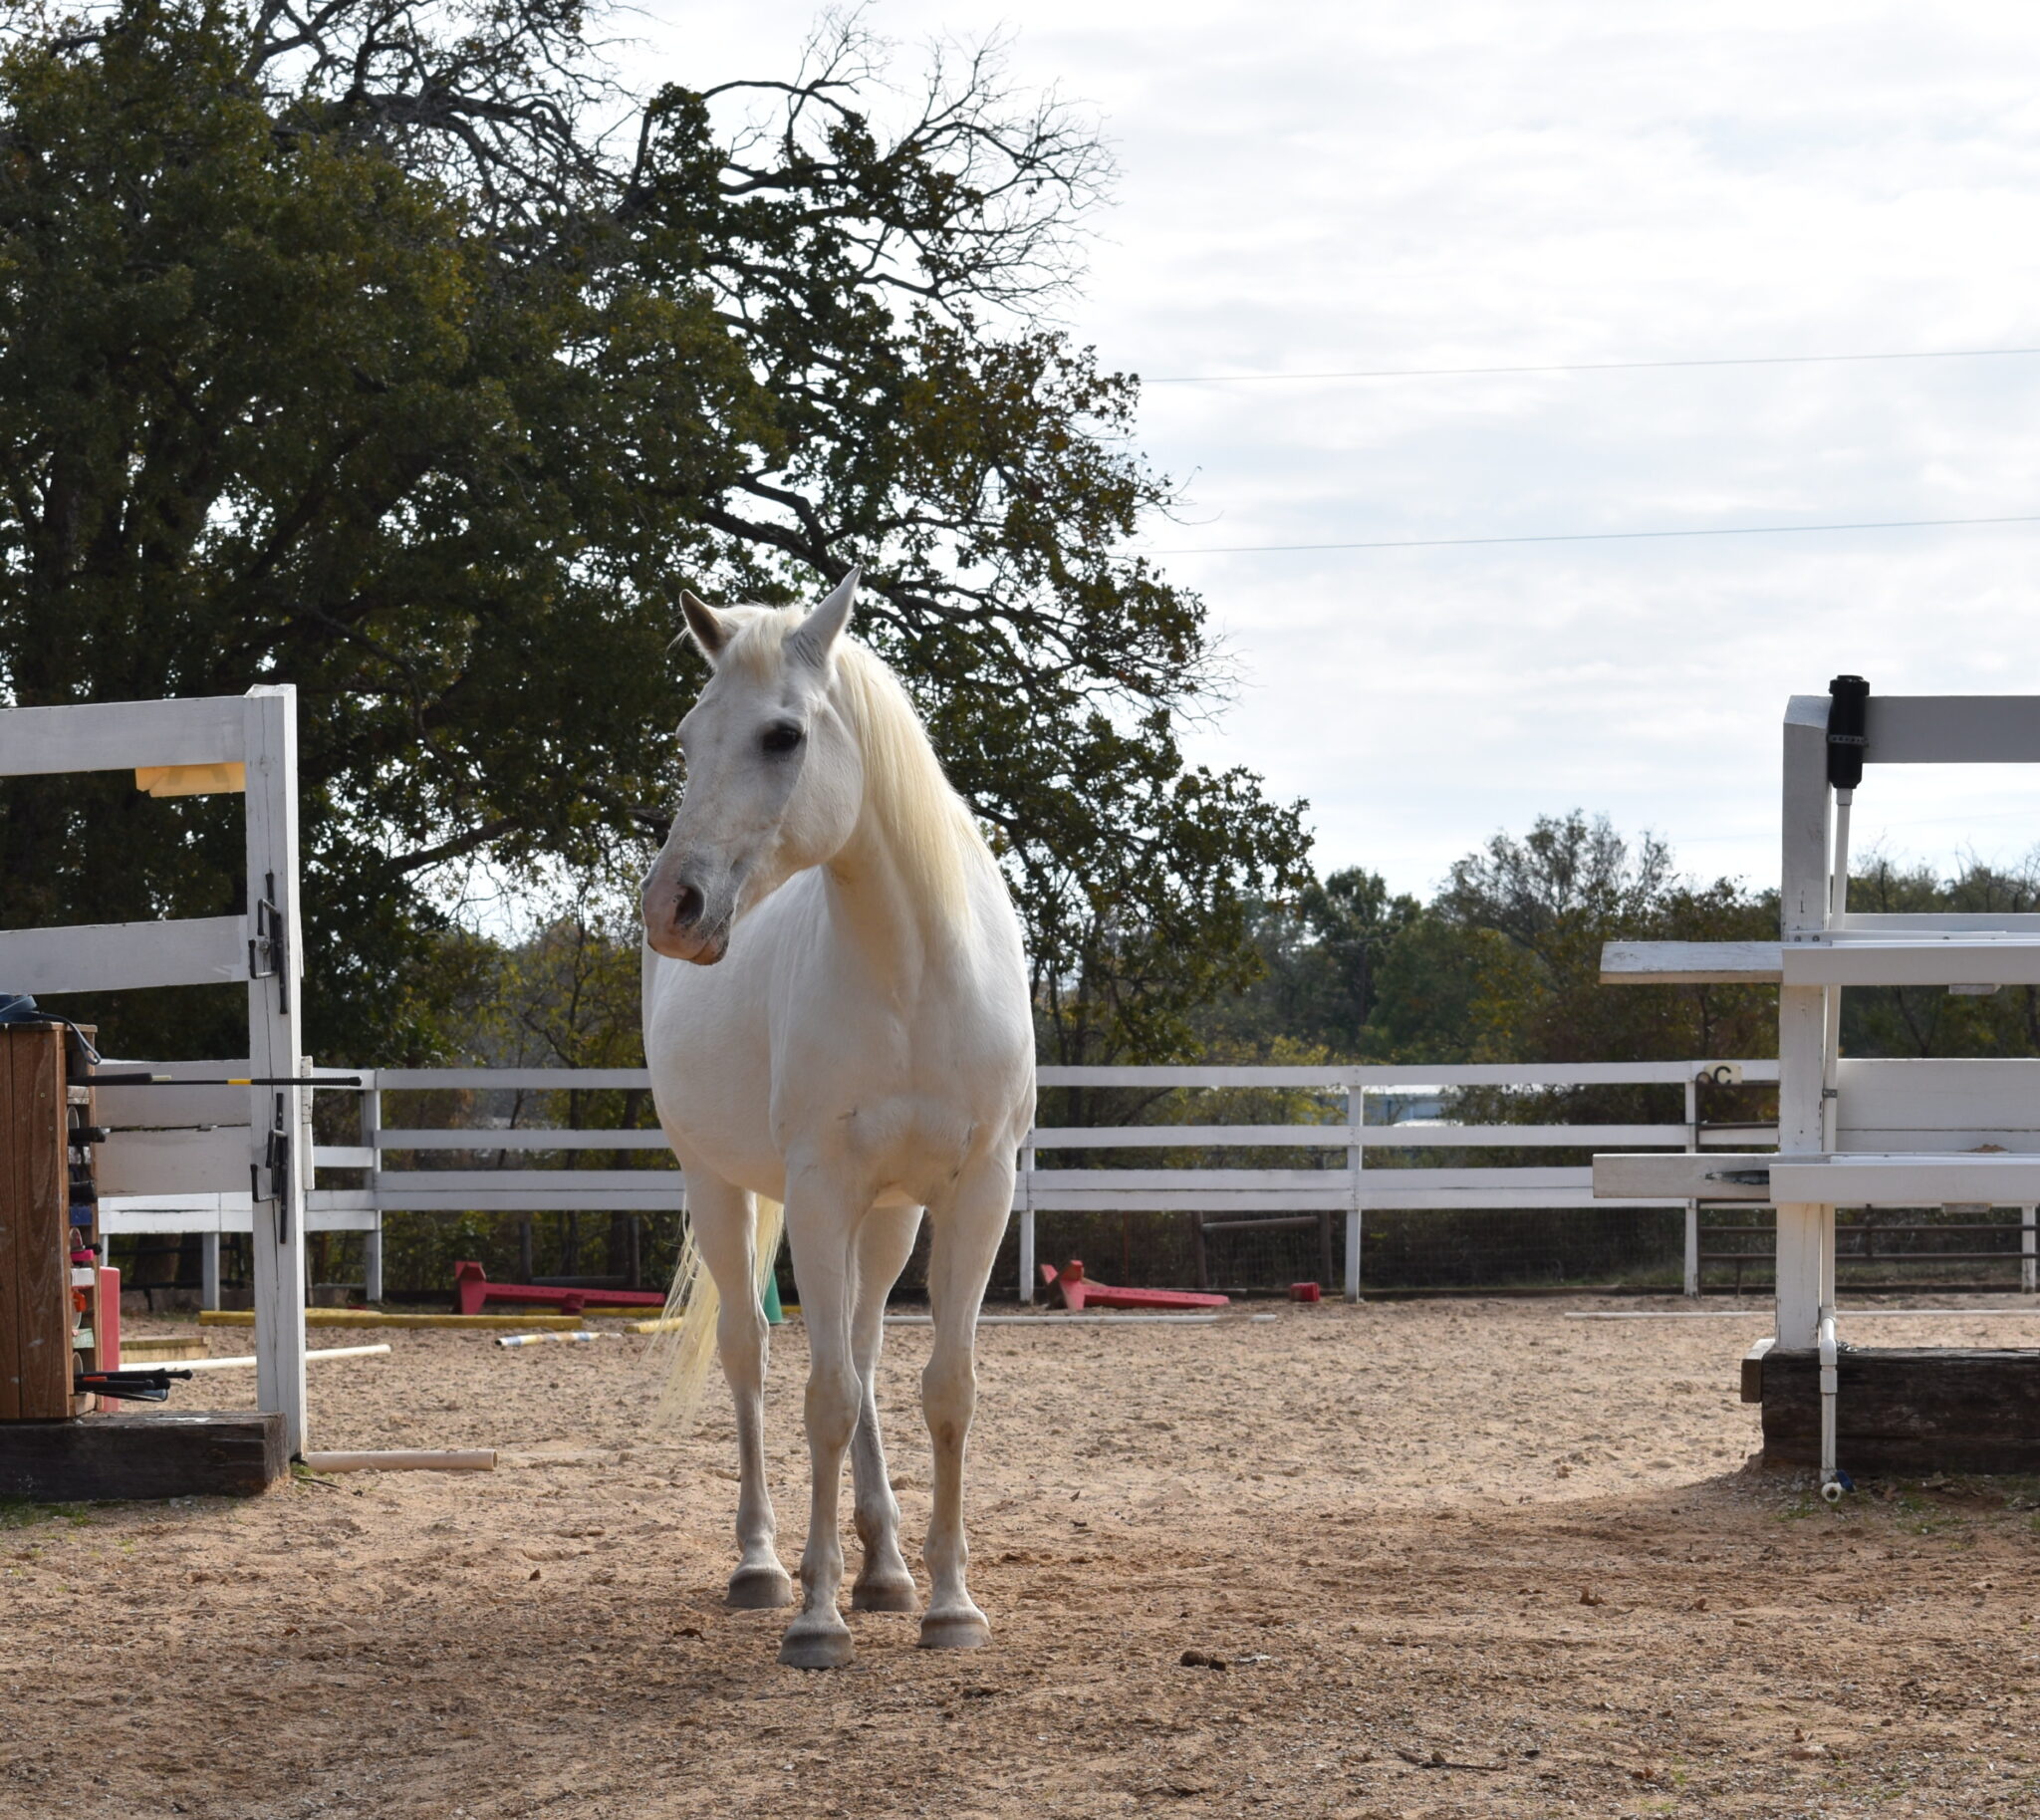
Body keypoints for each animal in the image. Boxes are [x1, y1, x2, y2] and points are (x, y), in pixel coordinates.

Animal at [640, 567, 1036, 1665]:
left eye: (783, 735)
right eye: (687, 736)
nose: (671, 907)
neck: (914, 970)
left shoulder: (976, 1192)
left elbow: (942, 1387)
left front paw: (947, 1602)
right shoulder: (817, 1191)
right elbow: (819, 1396)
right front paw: (816, 1618)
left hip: (890, 1216)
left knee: (860, 1353)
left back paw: (885, 1569)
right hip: (718, 1186)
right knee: (752, 1354)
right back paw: (764, 1565)